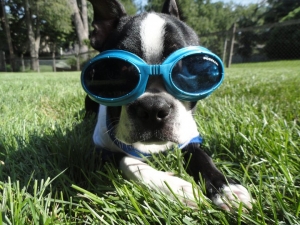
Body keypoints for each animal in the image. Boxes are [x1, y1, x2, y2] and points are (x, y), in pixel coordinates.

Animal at [81, 0, 251, 211]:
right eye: (119, 70)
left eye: (187, 69)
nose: (153, 108)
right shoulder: (99, 153)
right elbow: (128, 160)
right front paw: (177, 188)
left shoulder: (191, 141)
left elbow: (204, 158)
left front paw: (226, 188)